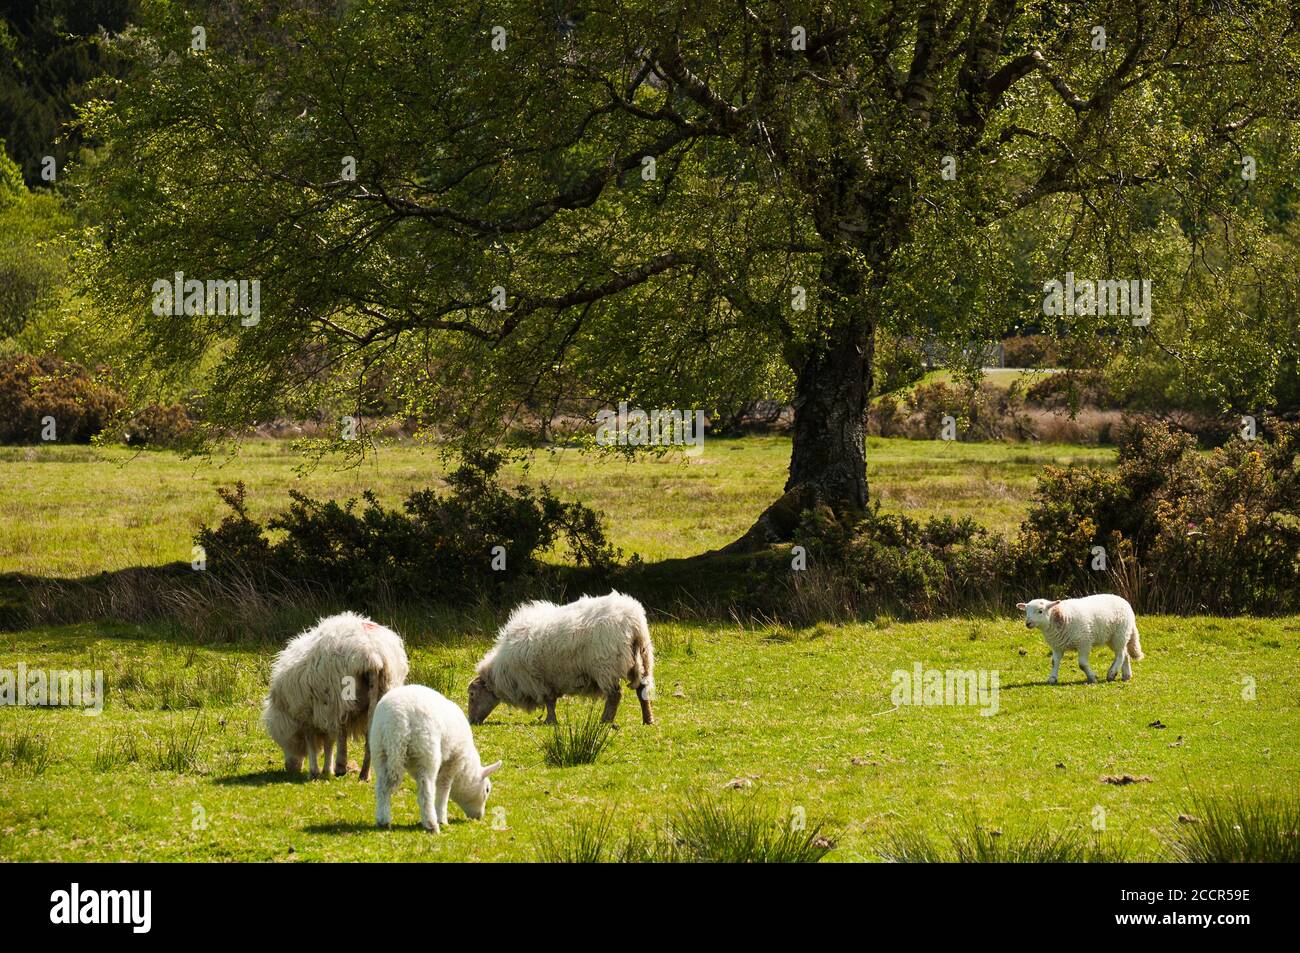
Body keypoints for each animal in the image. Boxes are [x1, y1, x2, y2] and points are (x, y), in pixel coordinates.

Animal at [262, 611, 409, 780]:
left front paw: (316, 771)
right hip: (383, 691)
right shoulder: (321, 712)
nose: (290, 768)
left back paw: (341, 766)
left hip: (341, 696)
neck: (286, 709)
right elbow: (328, 741)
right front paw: (326, 769)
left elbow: (315, 741)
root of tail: (372, 653)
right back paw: (365, 774)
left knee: (342, 732)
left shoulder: (310, 713)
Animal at [370, 684, 502, 832]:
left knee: (382, 787)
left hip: (379, 749)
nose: (479, 817)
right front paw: (442, 819)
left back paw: (383, 821)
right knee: (426, 790)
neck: (465, 769)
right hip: (427, 750)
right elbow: (443, 789)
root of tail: (398, 721)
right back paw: (432, 824)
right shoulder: (452, 762)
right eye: (487, 790)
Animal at [467, 590, 655, 726]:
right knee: (642, 691)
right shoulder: (548, 680)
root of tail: (633, 621)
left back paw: (605, 721)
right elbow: (552, 701)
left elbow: (549, 702)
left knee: (614, 695)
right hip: (644, 658)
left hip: (606, 666)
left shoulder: (537, 681)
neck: (503, 671)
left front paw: (550, 721)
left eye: (472, 694)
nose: (471, 722)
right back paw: (648, 719)